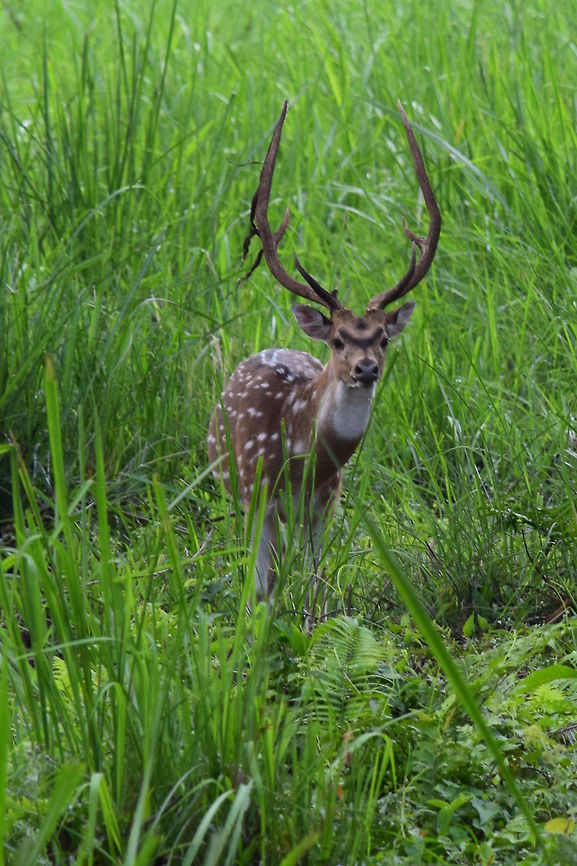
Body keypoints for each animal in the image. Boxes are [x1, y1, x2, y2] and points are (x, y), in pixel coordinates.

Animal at [208, 100, 441, 610]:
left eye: (383, 338)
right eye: (337, 339)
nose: (366, 368)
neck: (303, 458)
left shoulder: (327, 502)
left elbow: (317, 581)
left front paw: (314, 619)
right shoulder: (257, 496)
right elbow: (261, 588)